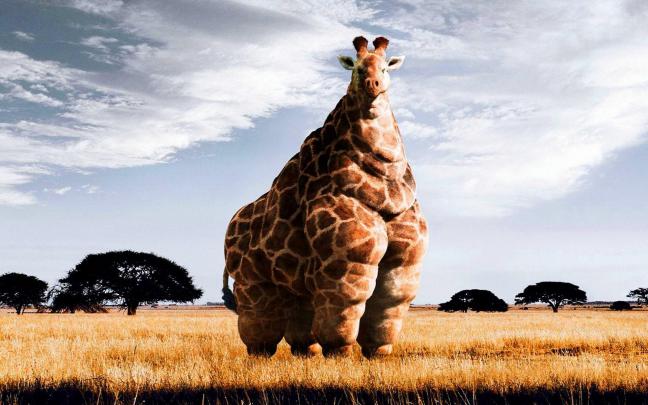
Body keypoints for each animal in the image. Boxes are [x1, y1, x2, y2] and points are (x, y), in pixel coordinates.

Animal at [222, 36, 428, 358]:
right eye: (356, 68)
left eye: (385, 67)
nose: (373, 85)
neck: (386, 185)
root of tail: (229, 229)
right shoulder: (347, 259)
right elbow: (345, 306)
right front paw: (339, 354)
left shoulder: (405, 261)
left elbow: (389, 303)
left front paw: (378, 353)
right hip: (251, 278)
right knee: (259, 323)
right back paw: (261, 355)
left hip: (292, 283)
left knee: (299, 323)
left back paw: (306, 352)